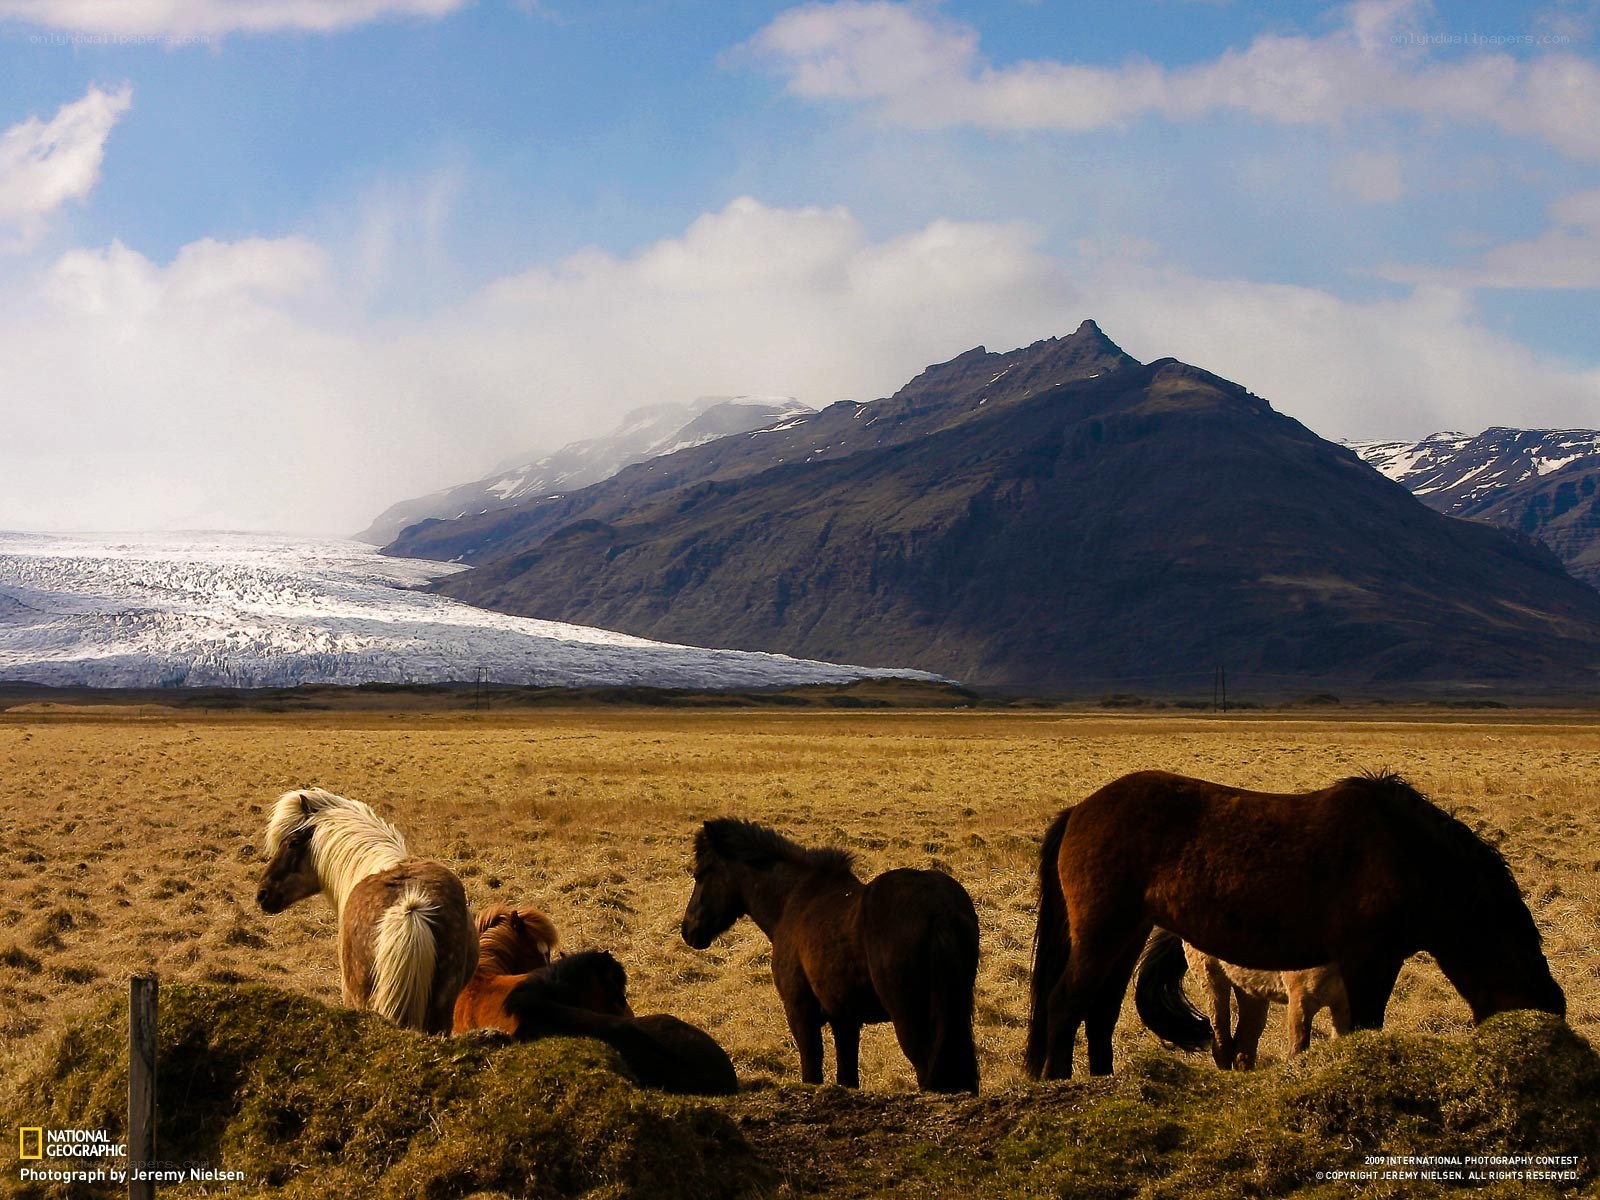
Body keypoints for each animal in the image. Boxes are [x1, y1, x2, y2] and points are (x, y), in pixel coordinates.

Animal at [680, 818, 980, 1093]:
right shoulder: (844, 1019)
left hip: (910, 1018)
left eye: (701, 874)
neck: (792, 901)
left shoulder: (801, 1013)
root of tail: (939, 910)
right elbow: (848, 1077)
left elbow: (812, 1072)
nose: (688, 929)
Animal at [1133, 928, 1350, 1069]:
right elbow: (1298, 1051)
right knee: (1222, 1043)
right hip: (1213, 981)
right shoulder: (1300, 1001)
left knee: (1243, 1047)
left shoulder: (1343, 1009)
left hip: (1251, 990)